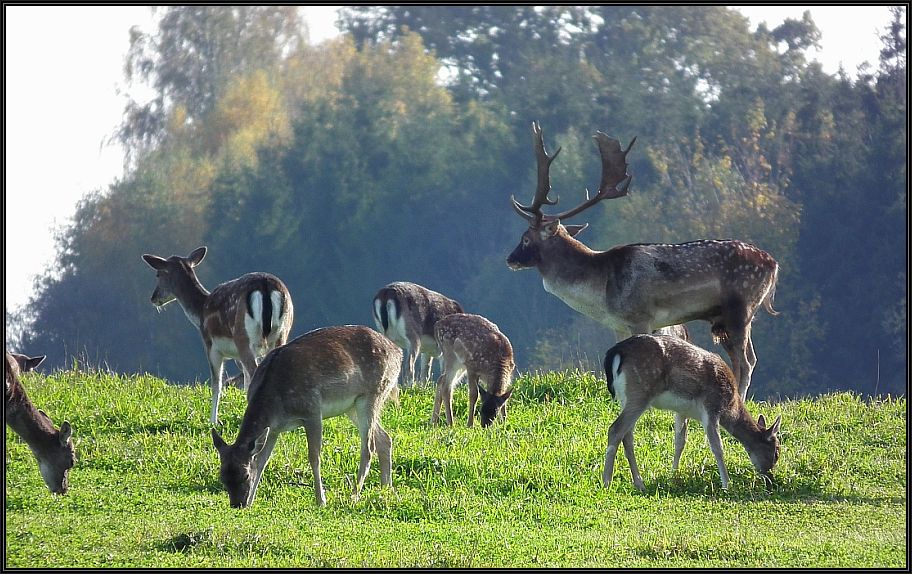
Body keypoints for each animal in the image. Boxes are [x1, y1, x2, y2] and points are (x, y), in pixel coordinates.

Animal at [142, 245, 296, 426]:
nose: (153, 298)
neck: (200, 312)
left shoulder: (210, 345)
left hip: (243, 336)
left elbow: (217, 383)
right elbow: (244, 382)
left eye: (158, 274)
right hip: (281, 333)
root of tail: (265, 285)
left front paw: (214, 421)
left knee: (254, 371)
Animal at [213, 326, 402, 510]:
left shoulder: (312, 411)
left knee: (368, 447)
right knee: (385, 438)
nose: (237, 504)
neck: (276, 402)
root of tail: (398, 353)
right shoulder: (274, 429)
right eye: (222, 476)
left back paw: (354, 496)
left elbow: (314, 456)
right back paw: (386, 490)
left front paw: (321, 500)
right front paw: (252, 502)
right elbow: (262, 460)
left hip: (372, 394)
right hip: (352, 406)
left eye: (245, 475)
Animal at [506, 121, 776, 400]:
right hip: (731, 317)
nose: (510, 259)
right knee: (746, 359)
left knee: (746, 361)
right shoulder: (618, 324)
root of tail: (773, 265)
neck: (600, 291)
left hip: (740, 307)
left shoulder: (641, 317)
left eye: (525, 238)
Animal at [604, 336, 780, 492]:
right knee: (615, 429)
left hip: (626, 397)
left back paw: (639, 483)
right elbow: (717, 446)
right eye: (776, 452)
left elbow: (679, 442)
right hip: (640, 392)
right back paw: (607, 482)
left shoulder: (682, 411)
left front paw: (673, 476)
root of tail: (615, 352)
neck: (730, 407)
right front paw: (727, 485)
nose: (770, 482)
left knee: (627, 436)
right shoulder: (711, 407)